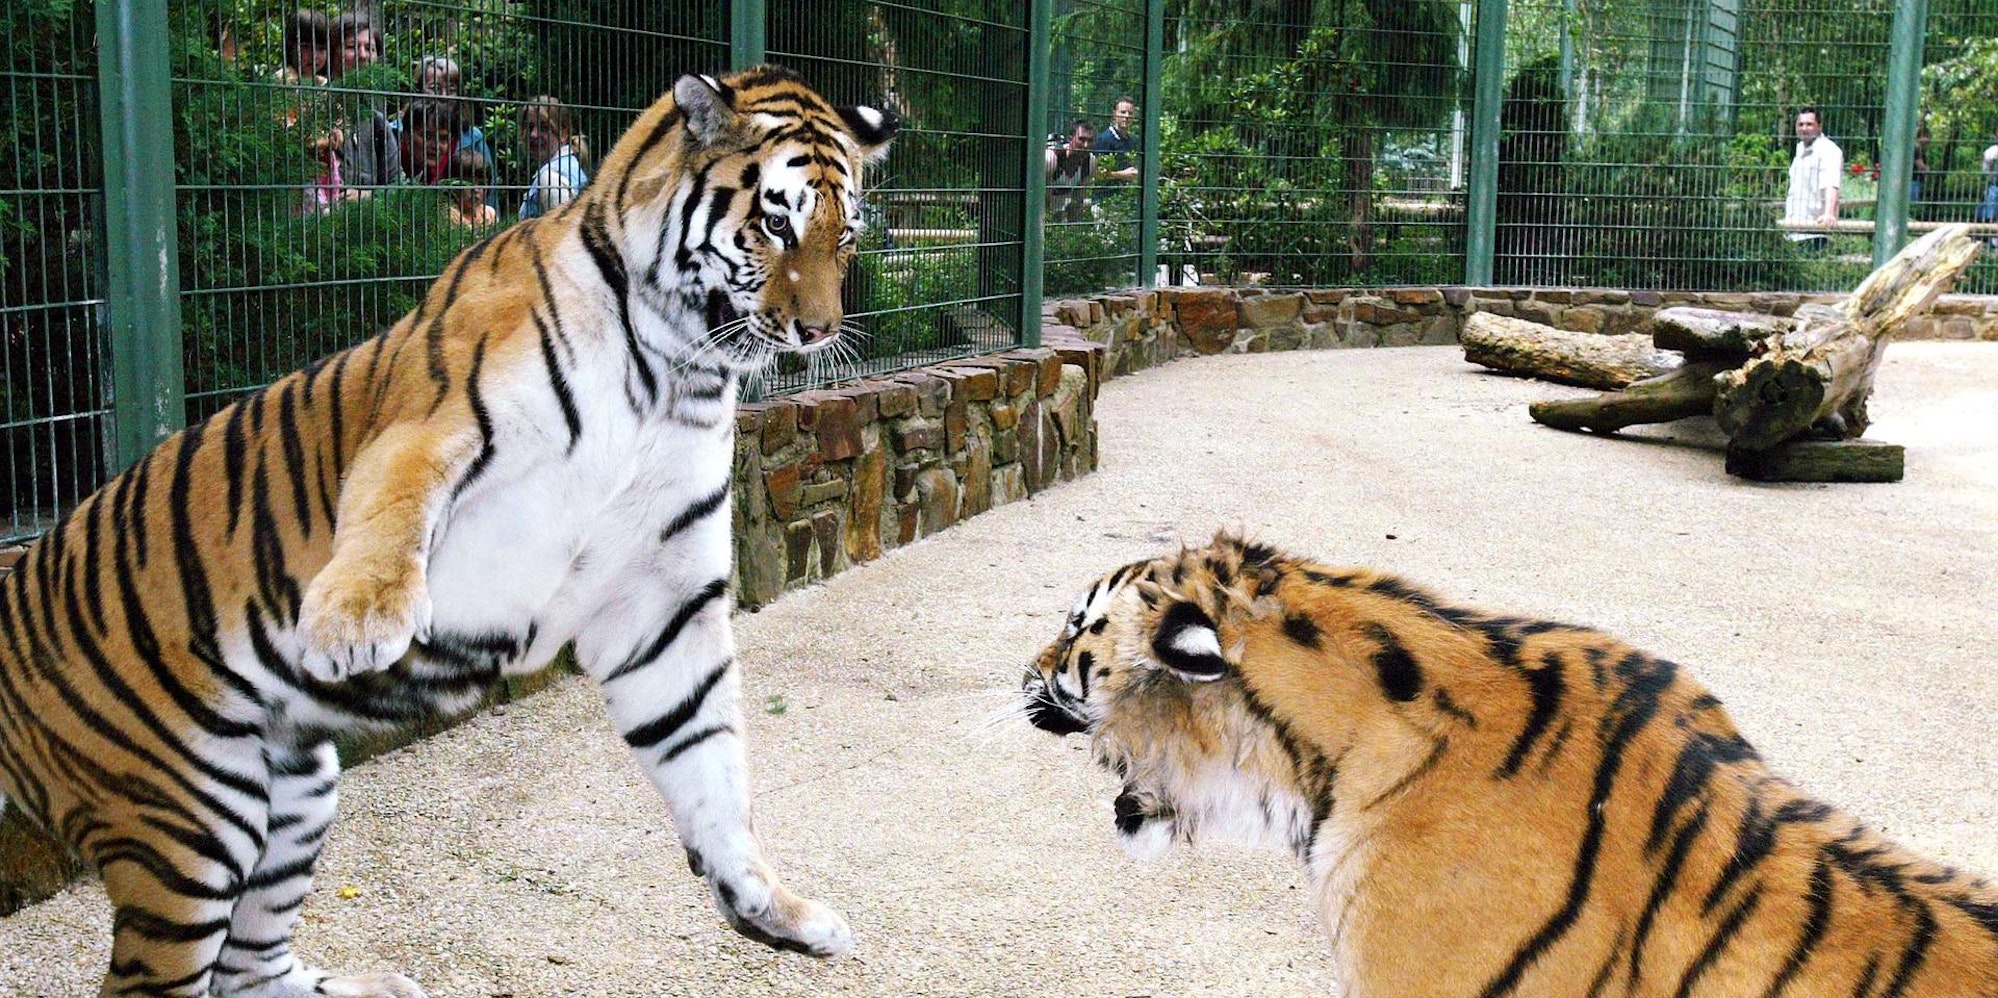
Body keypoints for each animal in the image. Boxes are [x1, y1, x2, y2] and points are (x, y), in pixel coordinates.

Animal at [0, 65, 893, 998]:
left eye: (846, 239)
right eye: (776, 222)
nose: (819, 330)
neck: (676, 367)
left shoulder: (661, 600)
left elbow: (710, 760)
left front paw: (769, 904)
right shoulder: (431, 421)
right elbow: (395, 506)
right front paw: (356, 623)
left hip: (294, 789)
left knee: (244, 972)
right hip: (190, 824)